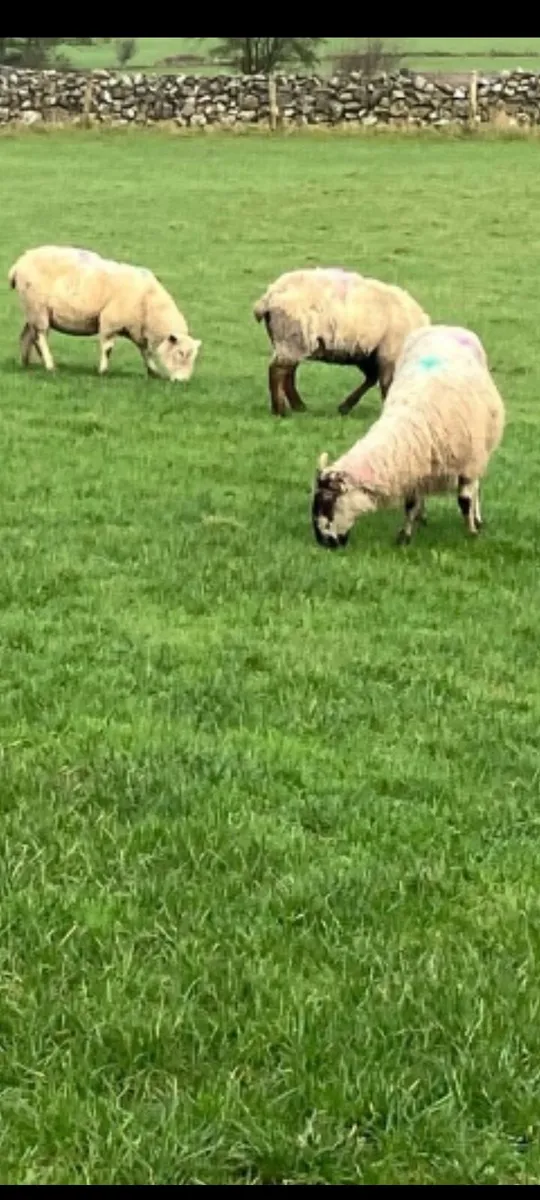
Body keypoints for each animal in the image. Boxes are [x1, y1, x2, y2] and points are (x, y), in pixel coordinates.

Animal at [8, 245, 201, 381]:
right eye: (180, 353)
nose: (182, 381)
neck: (150, 304)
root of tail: (19, 263)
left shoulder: (137, 329)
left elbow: (145, 352)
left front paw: (153, 372)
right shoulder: (110, 322)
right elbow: (108, 348)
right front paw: (103, 371)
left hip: (33, 311)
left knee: (27, 335)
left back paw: (26, 364)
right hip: (37, 308)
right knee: (40, 337)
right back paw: (49, 365)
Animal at [254, 267, 430, 417]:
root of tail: (270, 295)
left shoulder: (367, 352)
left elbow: (372, 379)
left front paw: (345, 407)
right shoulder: (389, 352)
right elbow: (386, 383)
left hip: (292, 341)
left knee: (288, 372)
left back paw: (298, 407)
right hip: (292, 337)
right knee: (278, 371)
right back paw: (280, 411)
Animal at [311, 324, 505, 550]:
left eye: (327, 503)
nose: (324, 543)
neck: (413, 423)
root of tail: (444, 326)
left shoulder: (469, 464)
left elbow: (465, 501)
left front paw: (472, 533)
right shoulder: (414, 466)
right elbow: (410, 504)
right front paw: (405, 536)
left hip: (480, 452)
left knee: (476, 489)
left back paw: (478, 519)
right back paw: (423, 517)